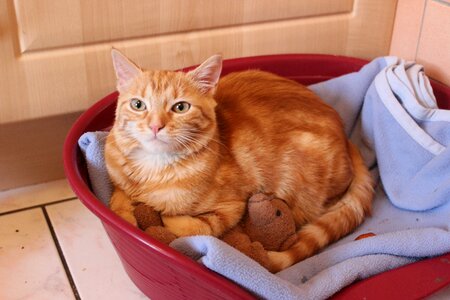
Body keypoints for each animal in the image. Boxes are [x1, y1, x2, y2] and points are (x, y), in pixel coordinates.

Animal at [104, 49, 372, 272]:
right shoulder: (117, 178)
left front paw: (165, 216)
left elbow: (199, 227)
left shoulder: (233, 206)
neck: (154, 169)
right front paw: (126, 216)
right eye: (138, 104)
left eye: (180, 107)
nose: (155, 126)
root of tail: (346, 137)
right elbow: (116, 198)